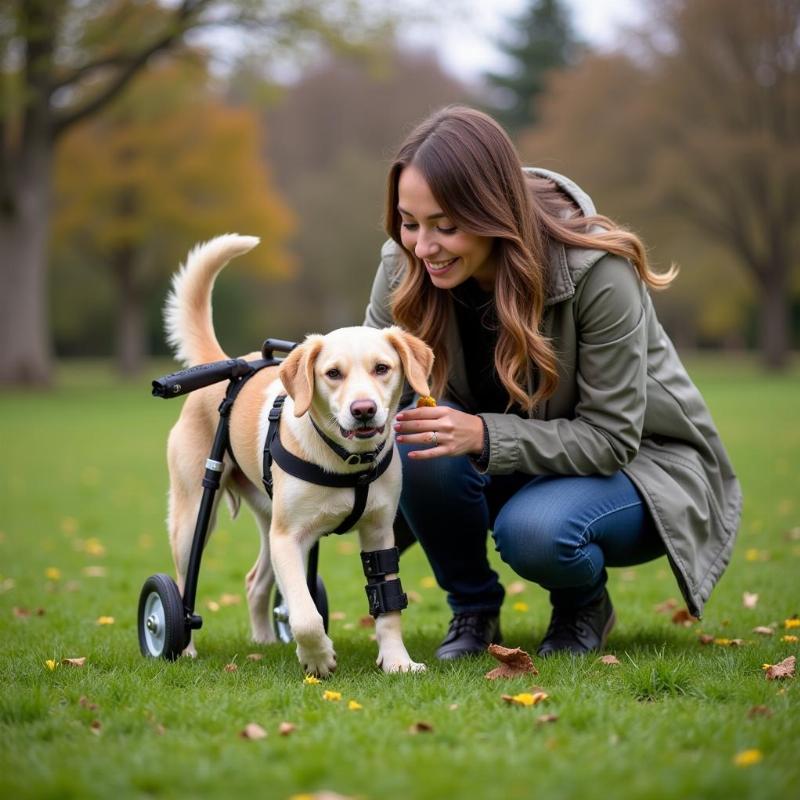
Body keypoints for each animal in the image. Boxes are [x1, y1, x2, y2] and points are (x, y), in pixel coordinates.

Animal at [162, 234, 434, 680]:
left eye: (382, 368)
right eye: (333, 373)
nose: (363, 410)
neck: (348, 462)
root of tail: (226, 363)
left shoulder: (379, 531)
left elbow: (387, 606)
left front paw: (398, 661)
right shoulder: (289, 538)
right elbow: (305, 615)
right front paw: (319, 658)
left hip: (267, 515)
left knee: (255, 581)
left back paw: (264, 642)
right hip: (193, 517)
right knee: (184, 584)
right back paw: (180, 646)